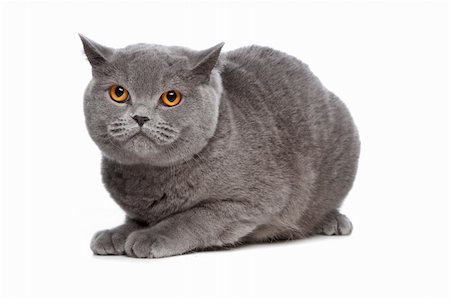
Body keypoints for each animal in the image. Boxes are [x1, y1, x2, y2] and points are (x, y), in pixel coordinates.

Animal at [81, 34, 360, 260]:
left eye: (171, 97)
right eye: (119, 93)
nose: (140, 117)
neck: (149, 177)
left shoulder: (250, 203)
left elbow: (191, 218)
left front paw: (149, 237)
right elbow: (136, 220)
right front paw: (115, 234)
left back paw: (333, 221)